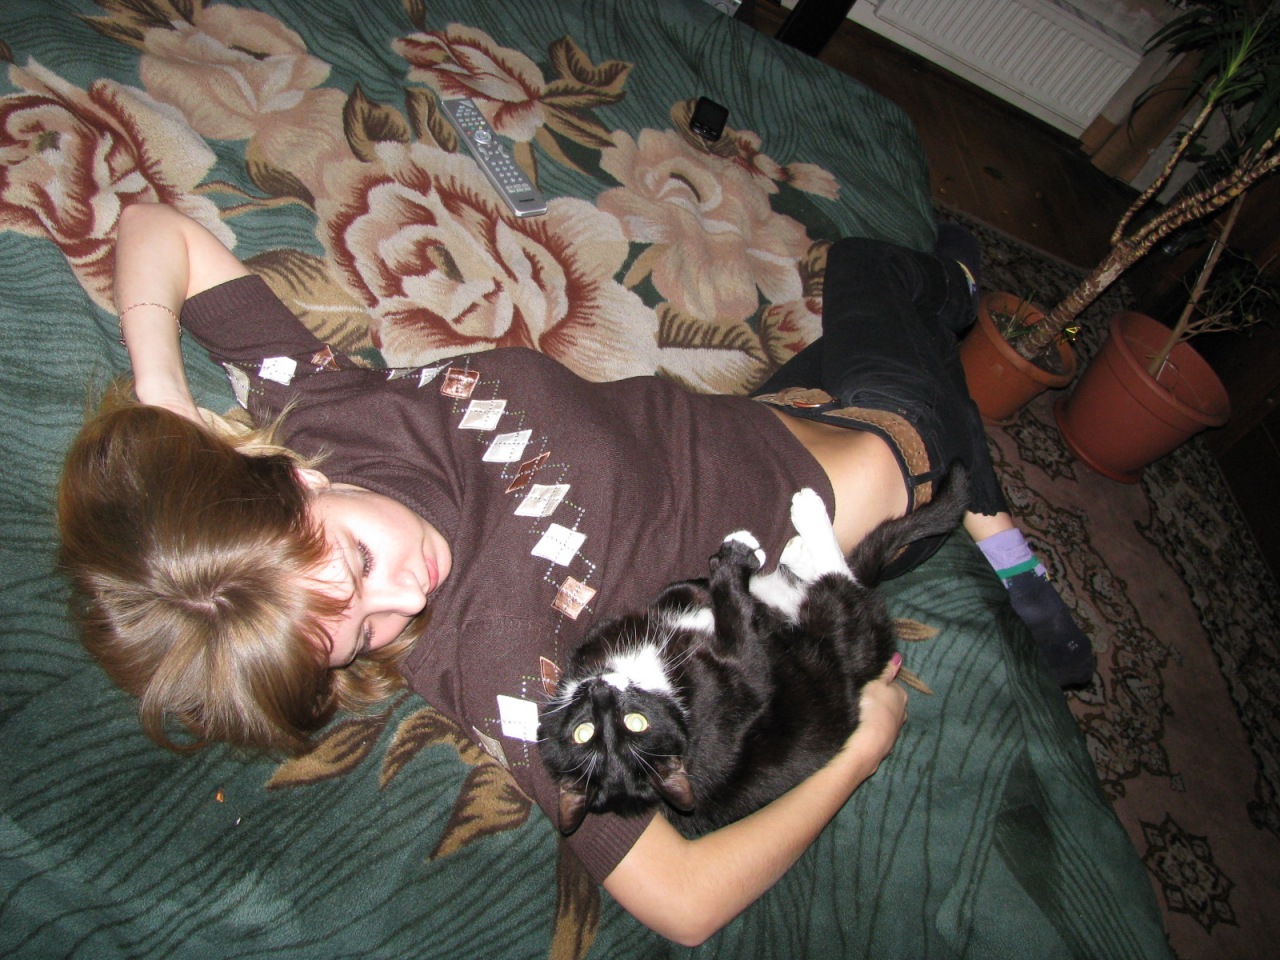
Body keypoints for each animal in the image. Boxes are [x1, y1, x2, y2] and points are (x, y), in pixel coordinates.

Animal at [538, 465, 967, 837]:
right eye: (588, 732)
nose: (600, 693)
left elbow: (678, 594)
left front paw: (710, 583)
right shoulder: (746, 680)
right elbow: (738, 625)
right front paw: (735, 566)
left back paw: (792, 552)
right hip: (842, 631)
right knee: (839, 584)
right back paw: (807, 519)